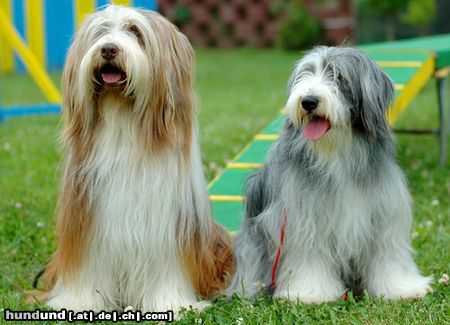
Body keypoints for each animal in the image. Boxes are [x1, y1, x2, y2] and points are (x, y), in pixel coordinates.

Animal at [37, 4, 234, 308]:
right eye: (101, 32)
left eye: (136, 32)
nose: (108, 49)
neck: (122, 120)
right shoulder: (85, 222)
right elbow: (86, 272)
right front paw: (78, 303)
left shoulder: (166, 228)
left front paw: (170, 304)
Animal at [229, 46, 432, 304]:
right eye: (305, 74)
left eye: (338, 76)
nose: (308, 101)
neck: (337, 154)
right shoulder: (302, 219)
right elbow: (310, 256)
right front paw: (310, 292)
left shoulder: (384, 213)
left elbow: (388, 253)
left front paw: (401, 288)